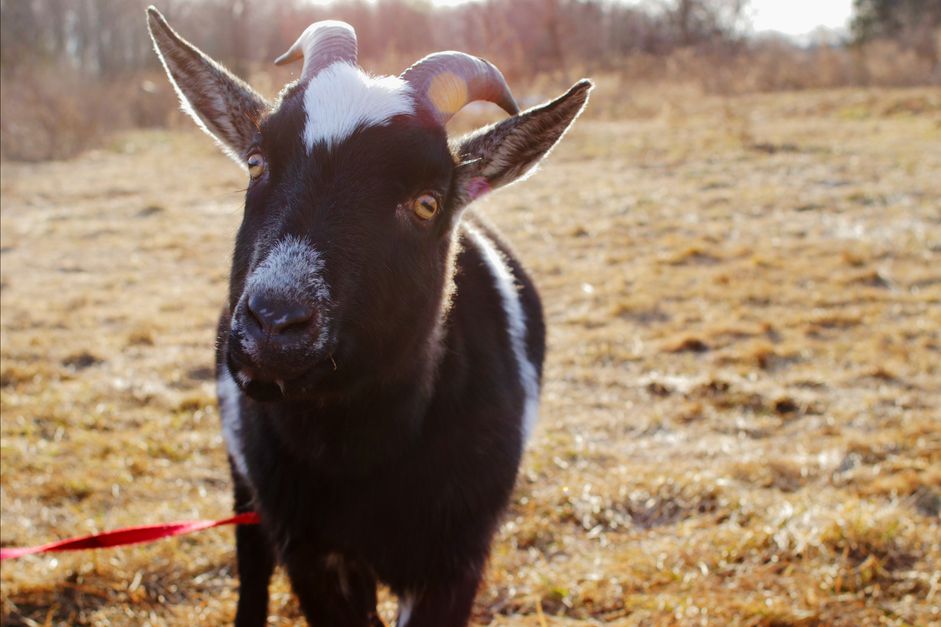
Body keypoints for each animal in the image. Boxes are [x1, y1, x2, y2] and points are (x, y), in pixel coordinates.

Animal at [146, 6, 588, 627]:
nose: (273, 323)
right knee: (251, 556)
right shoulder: (311, 552)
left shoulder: (453, 558)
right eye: (256, 163)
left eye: (427, 202)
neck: (363, 451)